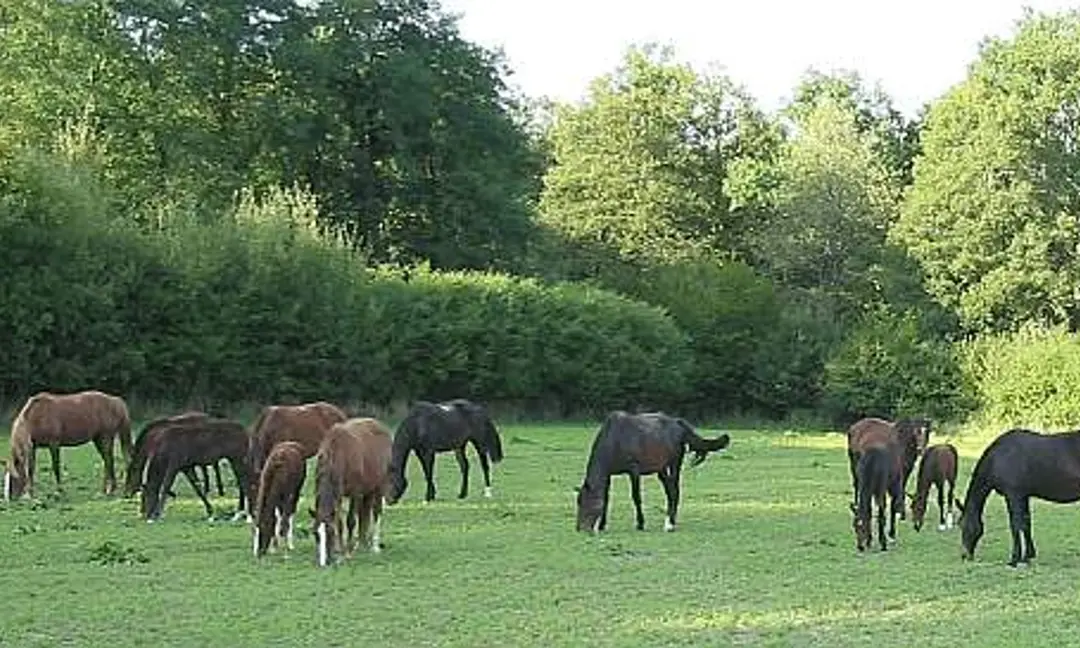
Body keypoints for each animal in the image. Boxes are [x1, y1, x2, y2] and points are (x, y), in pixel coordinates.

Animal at [4, 390, 133, 500]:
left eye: (13, 478)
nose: (9, 499)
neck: (36, 416)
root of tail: (116, 401)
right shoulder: (33, 447)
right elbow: (31, 469)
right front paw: (31, 493)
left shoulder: (54, 444)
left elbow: (56, 467)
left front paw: (59, 490)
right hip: (99, 439)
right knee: (108, 460)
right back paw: (106, 490)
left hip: (105, 438)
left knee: (108, 460)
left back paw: (109, 490)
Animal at [309, 418, 393, 567]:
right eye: (315, 534)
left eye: (330, 532)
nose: (324, 563)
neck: (339, 452)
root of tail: (379, 425)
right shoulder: (337, 496)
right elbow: (339, 522)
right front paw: (339, 550)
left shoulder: (355, 493)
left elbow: (350, 521)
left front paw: (347, 552)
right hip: (368, 489)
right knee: (364, 513)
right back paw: (361, 543)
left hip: (379, 485)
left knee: (376, 512)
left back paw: (374, 546)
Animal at [575, 411, 730, 534]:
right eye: (579, 502)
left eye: (588, 502)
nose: (581, 528)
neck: (615, 439)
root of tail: (679, 423)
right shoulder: (608, 475)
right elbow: (606, 498)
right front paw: (602, 526)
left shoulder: (634, 471)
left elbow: (636, 497)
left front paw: (640, 524)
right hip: (662, 469)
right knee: (669, 491)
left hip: (674, 463)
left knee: (674, 491)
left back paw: (670, 524)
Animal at [958, 428, 1080, 567]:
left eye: (962, 524)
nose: (965, 556)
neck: (998, 457)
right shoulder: (1023, 496)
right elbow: (1026, 523)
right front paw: (1027, 556)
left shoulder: (1013, 496)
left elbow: (1015, 524)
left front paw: (1014, 559)